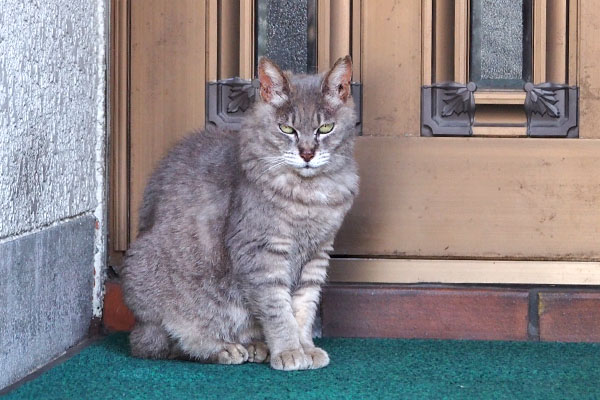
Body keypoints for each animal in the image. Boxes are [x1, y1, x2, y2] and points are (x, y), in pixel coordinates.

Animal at [119, 54, 358, 370]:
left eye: (326, 128)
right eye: (287, 129)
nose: (307, 153)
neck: (308, 194)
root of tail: (139, 326)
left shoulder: (317, 254)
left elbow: (304, 306)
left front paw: (306, 346)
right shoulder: (261, 252)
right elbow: (278, 309)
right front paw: (289, 351)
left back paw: (255, 345)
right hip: (153, 287)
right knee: (167, 342)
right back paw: (223, 348)